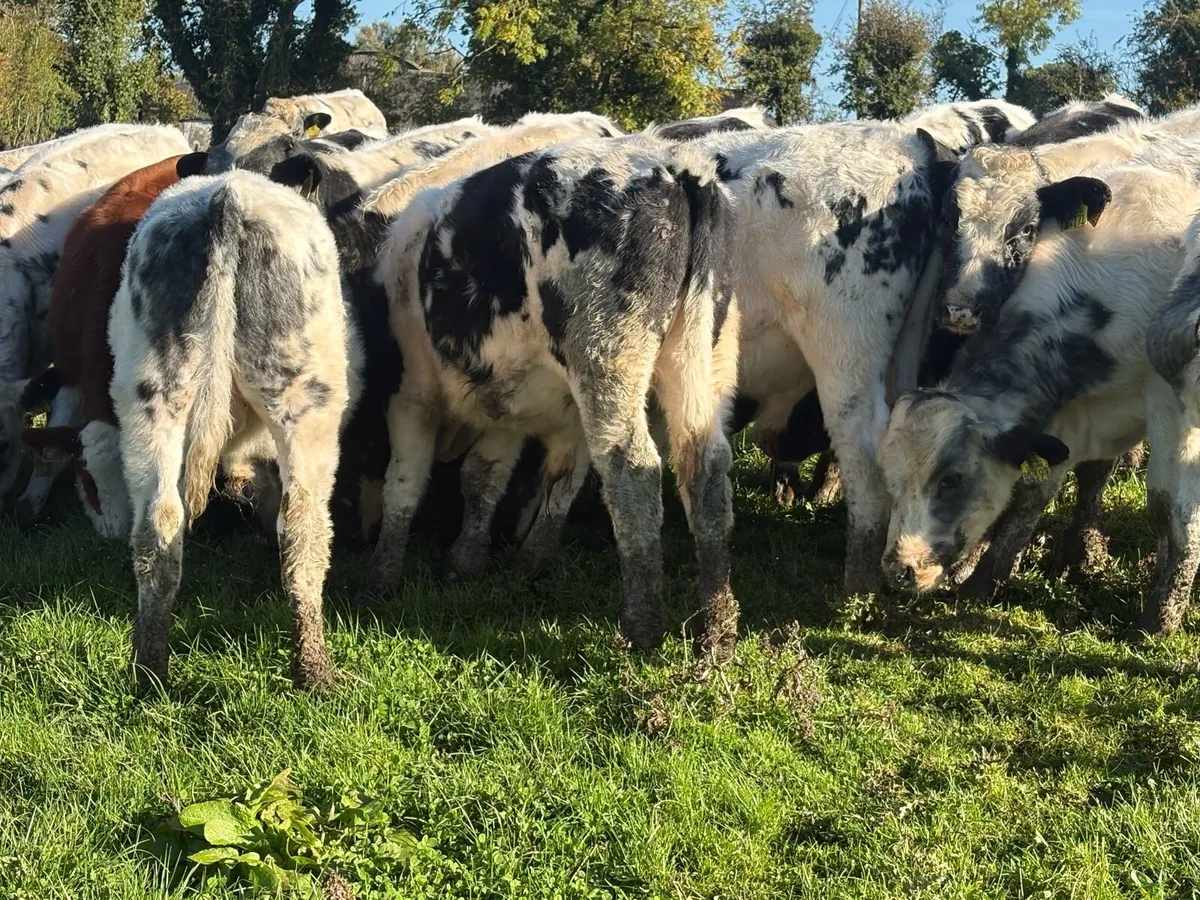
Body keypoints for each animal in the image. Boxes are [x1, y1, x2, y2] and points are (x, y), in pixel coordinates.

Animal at [109, 170, 362, 690]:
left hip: (152, 398)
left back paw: (150, 672)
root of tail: (228, 197)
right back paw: (315, 672)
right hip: (303, 398)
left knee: (158, 526)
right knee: (303, 527)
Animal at [359, 133, 739, 655]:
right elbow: (490, 477)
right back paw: (715, 627)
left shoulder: (410, 396)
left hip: (608, 362)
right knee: (705, 462)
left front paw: (382, 573)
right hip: (703, 359)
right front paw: (471, 558)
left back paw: (641, 628)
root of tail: (678, 166)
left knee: (633, 467)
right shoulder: (506, 402)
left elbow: (404, 482)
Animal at [880, 132, 1200, 617]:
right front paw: (983, 576)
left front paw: (1160, 614)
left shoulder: (1170, 408)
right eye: (889, 477)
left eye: (952, 479)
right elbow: (1033, 488)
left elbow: (1168, 508)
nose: (899, 570)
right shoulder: (1063, 417)